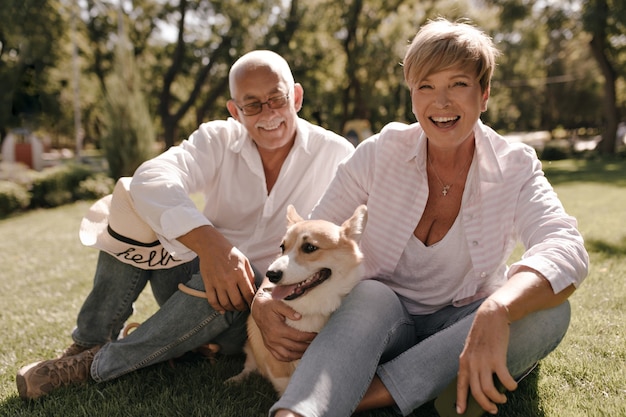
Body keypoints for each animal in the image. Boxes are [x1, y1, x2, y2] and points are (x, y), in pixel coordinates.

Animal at [227, 203, 366, 394]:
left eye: (309, 247)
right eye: (282, 247)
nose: (271, 274)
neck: (313, 307)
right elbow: (284, 382)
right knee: (250, 366)